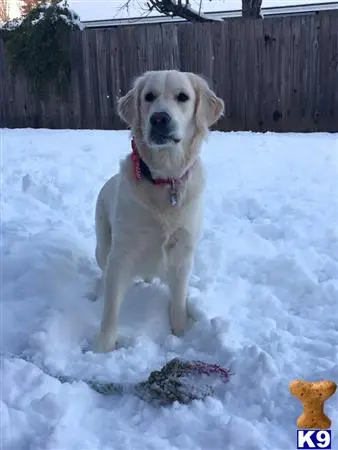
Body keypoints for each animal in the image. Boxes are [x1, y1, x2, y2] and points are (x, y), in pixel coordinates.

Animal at [93, 69, 223, 352]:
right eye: (149, 96)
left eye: (182, 97)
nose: (159, 118)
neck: (164, 178)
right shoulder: (121, 254)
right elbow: (110, 309)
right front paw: (103, 350)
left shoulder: (183, 252)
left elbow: (178, 302)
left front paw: (180, 335)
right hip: (103, 246)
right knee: (103, 270)